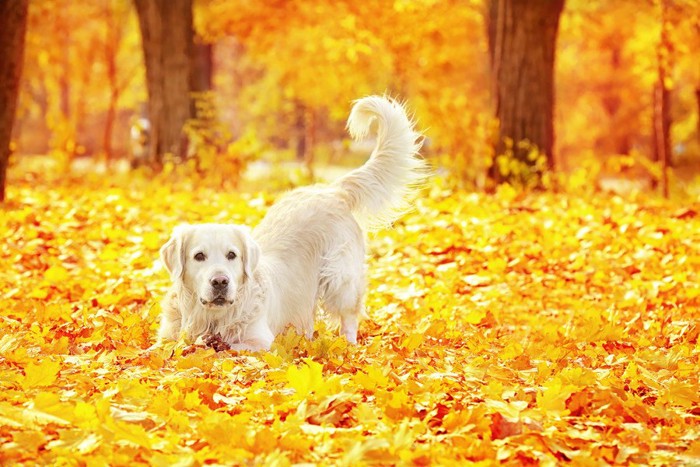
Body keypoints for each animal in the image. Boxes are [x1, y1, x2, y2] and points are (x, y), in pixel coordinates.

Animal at [159, 96, 426, 352]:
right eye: (199, 256)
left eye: (232, 255)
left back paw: (348, 346)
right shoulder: (167, 337)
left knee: (349, 316)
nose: (220, 282)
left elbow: (225, 349)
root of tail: (333, 190)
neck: (210, 318)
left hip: (340, 278)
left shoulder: (259, 341)